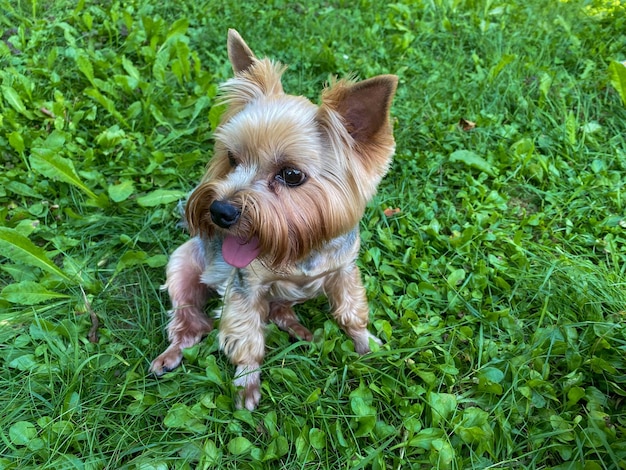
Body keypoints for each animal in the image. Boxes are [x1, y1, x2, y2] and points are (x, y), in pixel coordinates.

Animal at [149, 30, 398, 412]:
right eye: (231, 158)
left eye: (291, 175)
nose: (220, 211)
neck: (299, 247)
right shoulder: (245, 287)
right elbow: (246, 335)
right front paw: (246, 384)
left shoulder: (344, 269)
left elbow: (351, 310)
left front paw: (366, 344)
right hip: (182, 264)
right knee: (188, 317)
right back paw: (171, 353)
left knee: (280, 310)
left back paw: (300, 331)